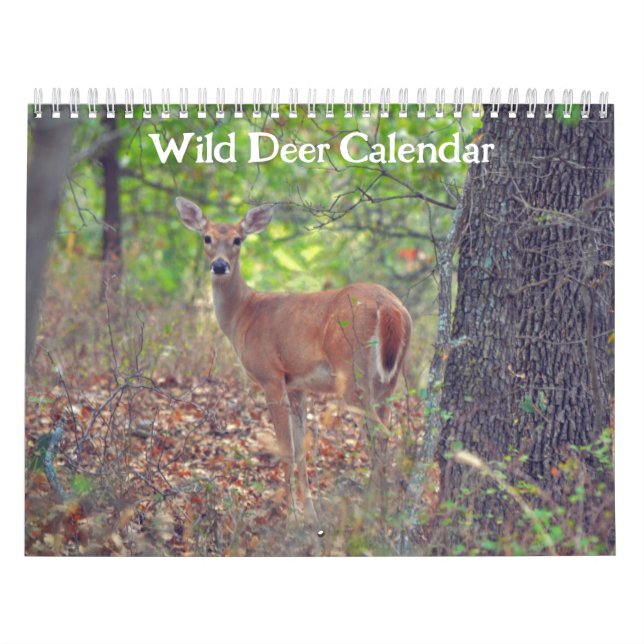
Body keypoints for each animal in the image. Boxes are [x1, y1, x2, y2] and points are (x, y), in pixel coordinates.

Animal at [175, 196, 412, 525]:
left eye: (238, 239)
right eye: (206, 237)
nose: (219, 265)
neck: (243, 315)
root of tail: (389, 306)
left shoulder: (271, 375)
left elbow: (285, 447)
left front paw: (289, 516)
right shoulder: (297, 384)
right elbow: (301, 448)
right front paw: (310, 513)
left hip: (352, 372)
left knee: (382, 434)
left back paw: (380, 508)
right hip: (388, 380)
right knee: (383, 434)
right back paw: (380, 507)